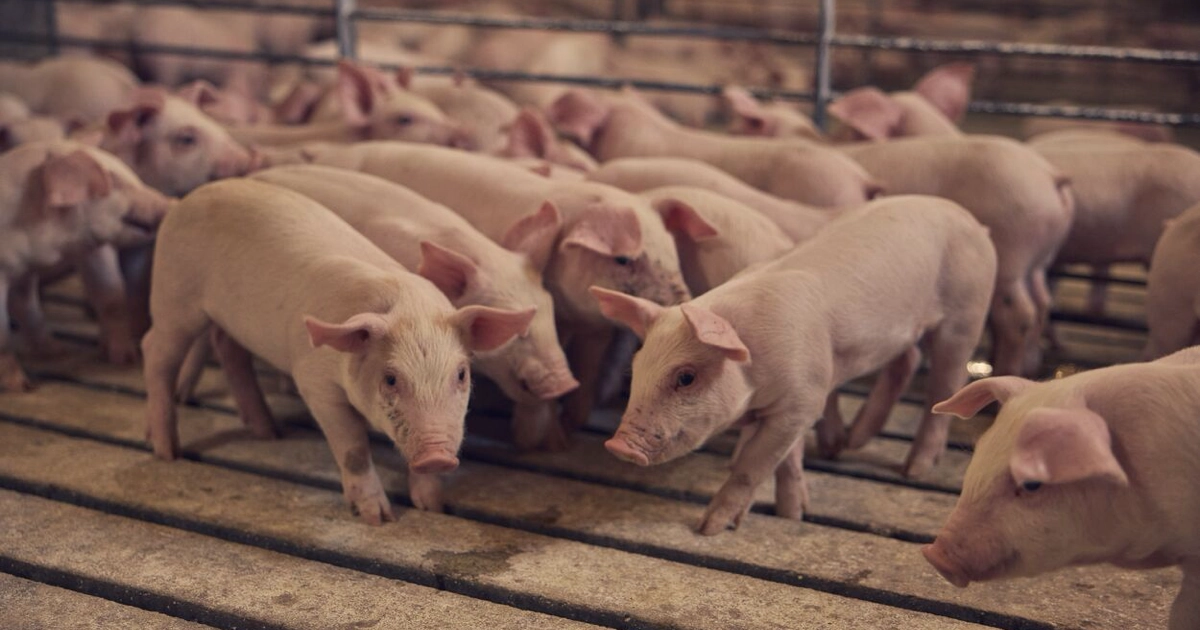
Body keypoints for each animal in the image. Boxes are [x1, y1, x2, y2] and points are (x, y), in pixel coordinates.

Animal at [0, 141, 171, 391]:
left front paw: (122, 359)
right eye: (113, 180)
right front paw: (22, 387)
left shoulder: (85, 250)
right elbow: (4, 327)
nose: (171, 202)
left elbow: (110, 298)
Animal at [142, 178, 534, 521]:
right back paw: (167, 452)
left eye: (461, 374)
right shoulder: (313, 380)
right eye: (390, 379)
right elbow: (354, 448)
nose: (437, 455)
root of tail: (188, 199)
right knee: (156, 350)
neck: (408, 306)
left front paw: (434, 508)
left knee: (228, 350)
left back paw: (269, 433)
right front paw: (379, 519)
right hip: (175, 297)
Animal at [281, 140, 691, 437]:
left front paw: (567, 431)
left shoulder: (590, 324)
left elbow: (588, 367)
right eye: (624, 259)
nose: (684, 299)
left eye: (672, 252)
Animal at [839, 134, 1074, 377]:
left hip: (1012, 252)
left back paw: (1002, 371)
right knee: (1042, 301)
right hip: (1036, 261)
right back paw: (1029, 366)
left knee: (1018, 314)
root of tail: (1050, 175)